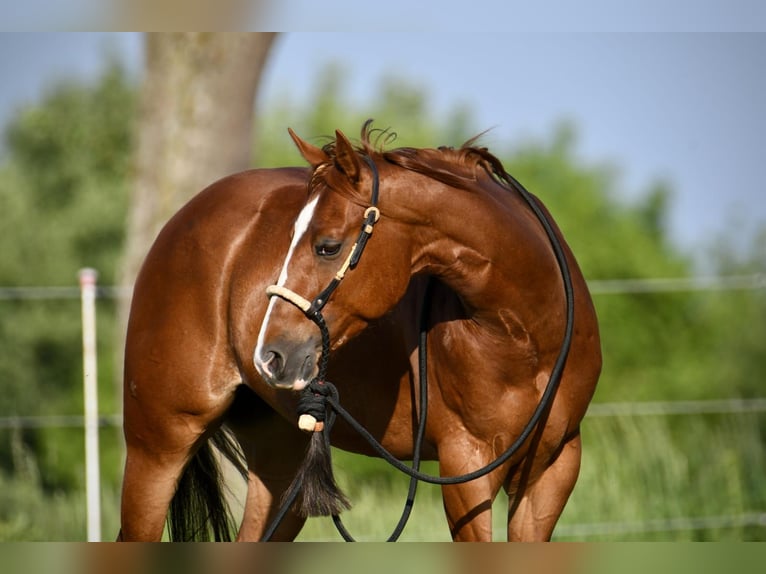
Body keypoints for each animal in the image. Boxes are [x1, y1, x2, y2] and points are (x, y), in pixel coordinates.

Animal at [118, 122, 601, 542]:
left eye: (327, 247)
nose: (269, 355)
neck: (525, 335)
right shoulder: (466, 469)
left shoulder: (554, 470)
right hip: (158, 448)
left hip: (281, 469)